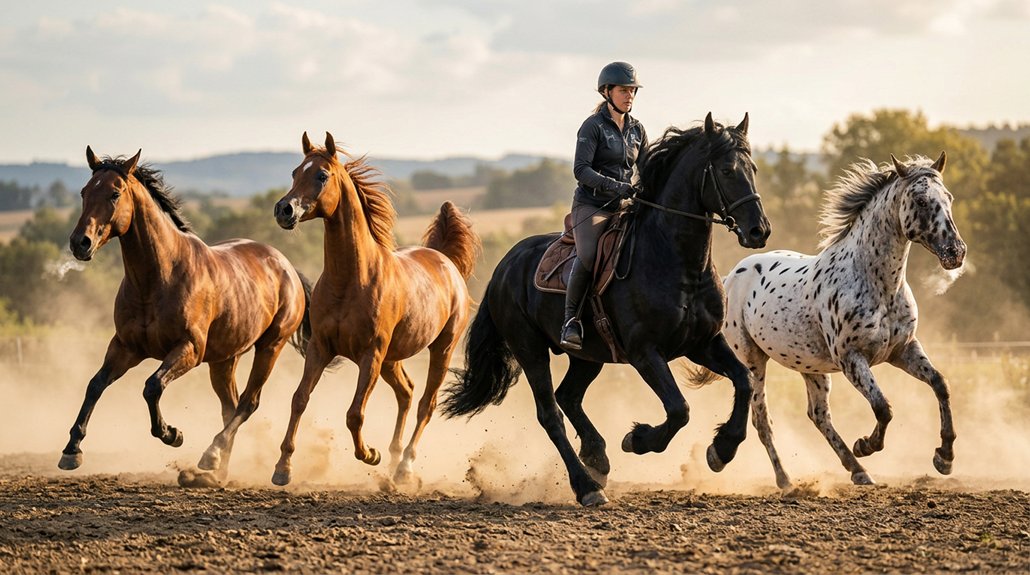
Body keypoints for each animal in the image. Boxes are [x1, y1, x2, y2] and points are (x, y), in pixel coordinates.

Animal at [61, 147, 311, 486]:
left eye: (114, 193)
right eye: (85, 192)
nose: (80, 243)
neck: (158, 277)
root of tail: (286, 266)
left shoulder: (188, 350)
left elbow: (152, 386)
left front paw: (172, 434)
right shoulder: (125, 347)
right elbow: (95, 385)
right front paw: (71, 450)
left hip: (270, 347)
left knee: (248, 403)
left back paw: (211, 456)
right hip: (224, 360)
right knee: (230, 406)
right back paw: (217, 472)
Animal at [270, 132, 480, 486]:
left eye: (322, 175)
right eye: (295, 172)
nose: (284, 210)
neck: (351, 280)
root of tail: (445, 260)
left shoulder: (371, 354)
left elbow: (355, 414)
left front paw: (369, 454)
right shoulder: (320, 347)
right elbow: (299, 399)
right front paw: (282, 467)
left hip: (439, 349)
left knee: (426, 403)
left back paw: (404, 467)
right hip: (392, 359)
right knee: (407, 392)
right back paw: (395, 458)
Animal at [442, 113, 772, 506]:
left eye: (753, 169)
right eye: (726, 170)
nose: (759, 231)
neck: (676, 262)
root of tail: (503, 268)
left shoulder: (703, 343)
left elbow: (744, 381)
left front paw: (722, 449)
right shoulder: (646, 353)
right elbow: (679, 409)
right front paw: (639, 439)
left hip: (588, 355)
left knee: (567, 396)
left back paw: (597, 457)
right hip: (531, 350)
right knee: (550, 413)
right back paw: (586, 486)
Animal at [713, 153, 965, 488]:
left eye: (948, 197)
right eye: (922, 201)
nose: (956, 252)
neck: (878, 285)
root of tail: (733, 275)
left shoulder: (904, 350)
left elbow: (941, 385)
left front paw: (944, 458)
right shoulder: (851, 359)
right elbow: (883, 406)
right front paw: (867, 444)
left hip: (810, 366)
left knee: (819, 415)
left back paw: (857, 470)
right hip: (753, 360)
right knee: (762, 420)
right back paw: (785, 479)